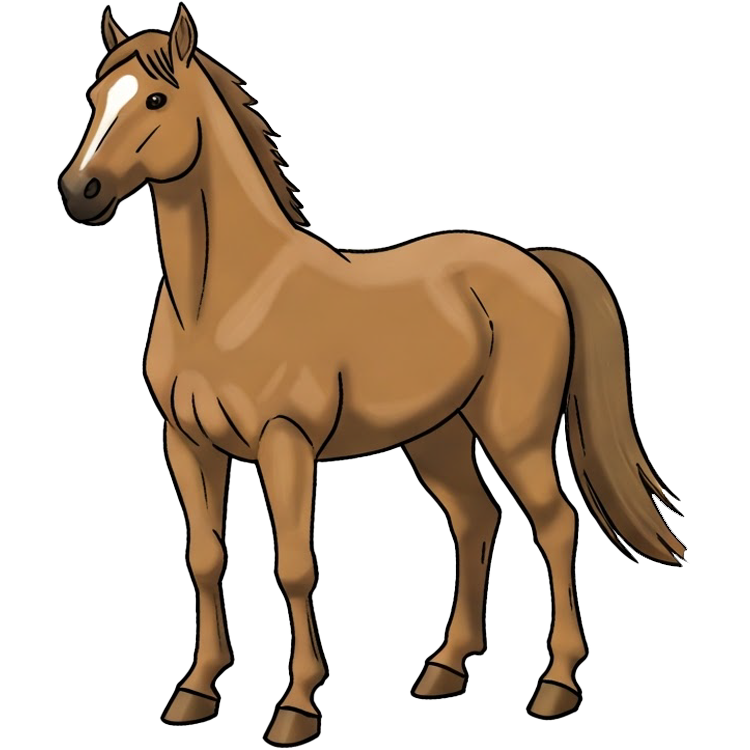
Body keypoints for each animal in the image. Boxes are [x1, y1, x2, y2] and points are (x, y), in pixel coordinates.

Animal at [57, 4, 685, 746]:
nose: (79, 191)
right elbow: (204, 558)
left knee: (555, 525)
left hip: (516, 436)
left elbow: (295, 567)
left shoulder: (286, 443)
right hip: (437, 436)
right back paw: (444, 667)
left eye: (155, 100)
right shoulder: (187, 444)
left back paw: (555, 685)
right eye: (94, 99)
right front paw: (195, 691)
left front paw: (297, 706)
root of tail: (533, 260)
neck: (226, 300)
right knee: (476, 520)